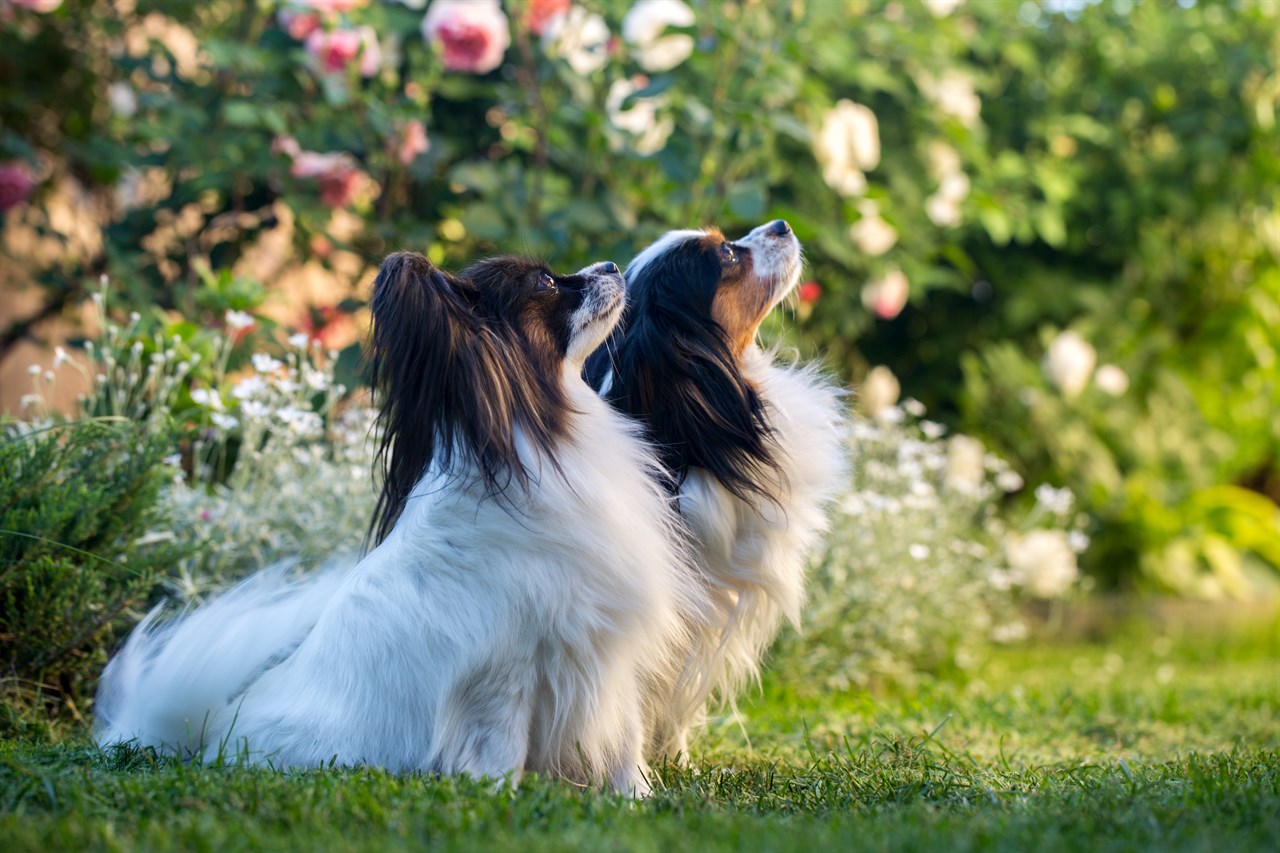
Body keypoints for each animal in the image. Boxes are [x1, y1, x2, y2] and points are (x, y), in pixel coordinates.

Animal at [96, 251, 701, 788]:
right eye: (547, 283)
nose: (613, 266)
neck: (546, 434)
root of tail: (208, 737)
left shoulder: (608, 659)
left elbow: (624, 749)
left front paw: (636, 802)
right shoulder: (505, 678)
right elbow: (499, 753)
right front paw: (499, 802)